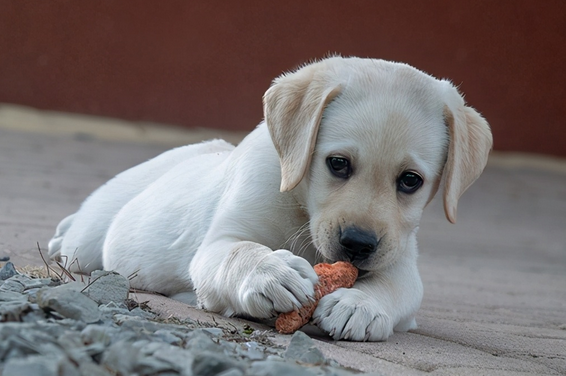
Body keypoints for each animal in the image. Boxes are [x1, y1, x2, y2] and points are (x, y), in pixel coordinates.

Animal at [48, 55, 492, 340]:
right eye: (338, 164)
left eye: (411, 181)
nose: (358, 244)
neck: (301, 208)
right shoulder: (218, 243)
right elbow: (239, 251)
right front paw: (271, 273)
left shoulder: (400, 259)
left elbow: (395, 287)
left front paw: (360, 305)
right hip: (91, 237)